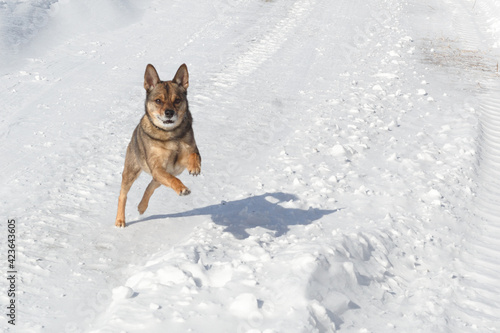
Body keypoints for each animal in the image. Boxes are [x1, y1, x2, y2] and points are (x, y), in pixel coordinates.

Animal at [115, 63, 201, 227]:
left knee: (150, 186)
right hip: (131, 171)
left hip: (157, 177)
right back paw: (120, 220)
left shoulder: (184, 157)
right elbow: (172, 180)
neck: (170, 135)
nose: (169, 113)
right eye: (158, 101)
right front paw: (182, 189)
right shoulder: (158, 167)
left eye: (177, 100)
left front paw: (194, 167)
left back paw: (142, 206)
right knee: (123, 194)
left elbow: (193, 154)